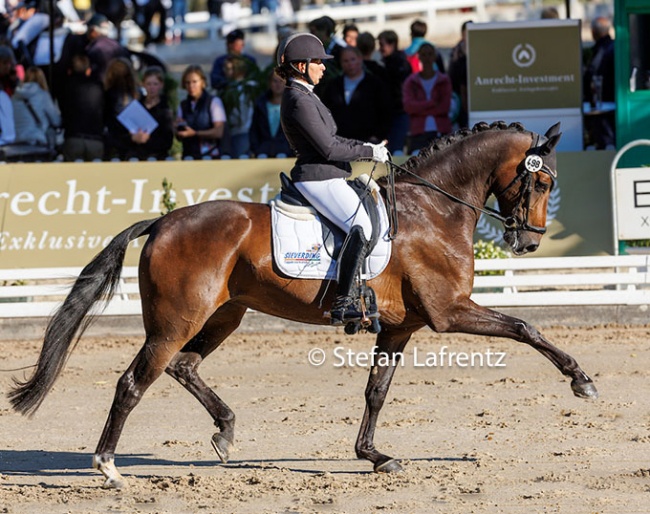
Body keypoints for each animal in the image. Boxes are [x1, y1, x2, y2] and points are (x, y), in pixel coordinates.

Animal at [10, 120, 596, 484]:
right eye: (543, 181)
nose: (530, 243)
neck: (433, 208)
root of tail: (163, 221)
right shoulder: (449, 313)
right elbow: (525, 327)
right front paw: (580, 380)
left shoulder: (400, 327)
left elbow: (376, 392)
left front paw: (374, 457)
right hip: (176, 320)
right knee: (136, 381)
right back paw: (108, 467)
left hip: (225, 313)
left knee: (184, 365)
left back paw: (225, 431)